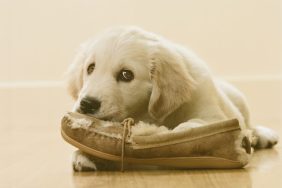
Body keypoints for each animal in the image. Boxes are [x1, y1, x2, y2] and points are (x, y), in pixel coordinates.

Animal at [66, 26, 278, 172]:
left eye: (126, 75)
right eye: (90, 68)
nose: (87, 103)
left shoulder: (213, 115)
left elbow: (199, 126)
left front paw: (182, 135)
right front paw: (85, 154)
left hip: (238, 99)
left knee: (249, 124)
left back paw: (262, 135)